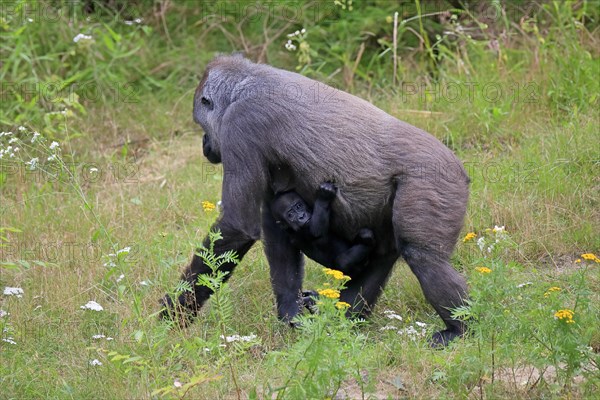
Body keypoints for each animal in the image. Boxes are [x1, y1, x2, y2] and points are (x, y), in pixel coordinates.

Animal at [162, 54, 472, 346]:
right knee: (385, 253)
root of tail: (461, 169)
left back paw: (460, 328)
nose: (204, 145)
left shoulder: (241, 122)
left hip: (435, 180)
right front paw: (291, 309)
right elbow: (276, 224)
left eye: (201, 123)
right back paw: (345, 319)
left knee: (424, 257)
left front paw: (174, 313)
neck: (245, 86)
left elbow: (238, 226)